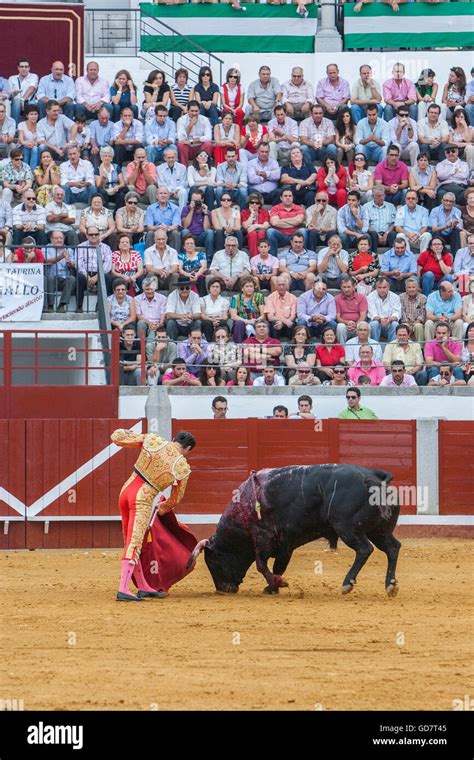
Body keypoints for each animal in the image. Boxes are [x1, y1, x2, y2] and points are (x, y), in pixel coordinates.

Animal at [187, 464, 402, 600]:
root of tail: (375, 476)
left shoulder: (262, 537)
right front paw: (272, 587)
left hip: (348, 528)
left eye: (213, 562)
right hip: (379, 531)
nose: (224, 590)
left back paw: (347, 583)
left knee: (365, 549)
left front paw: (278, 584)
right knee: (393, 548)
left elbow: (261, 565)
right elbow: (278, 567)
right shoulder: (285, 545)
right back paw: (390, 585)